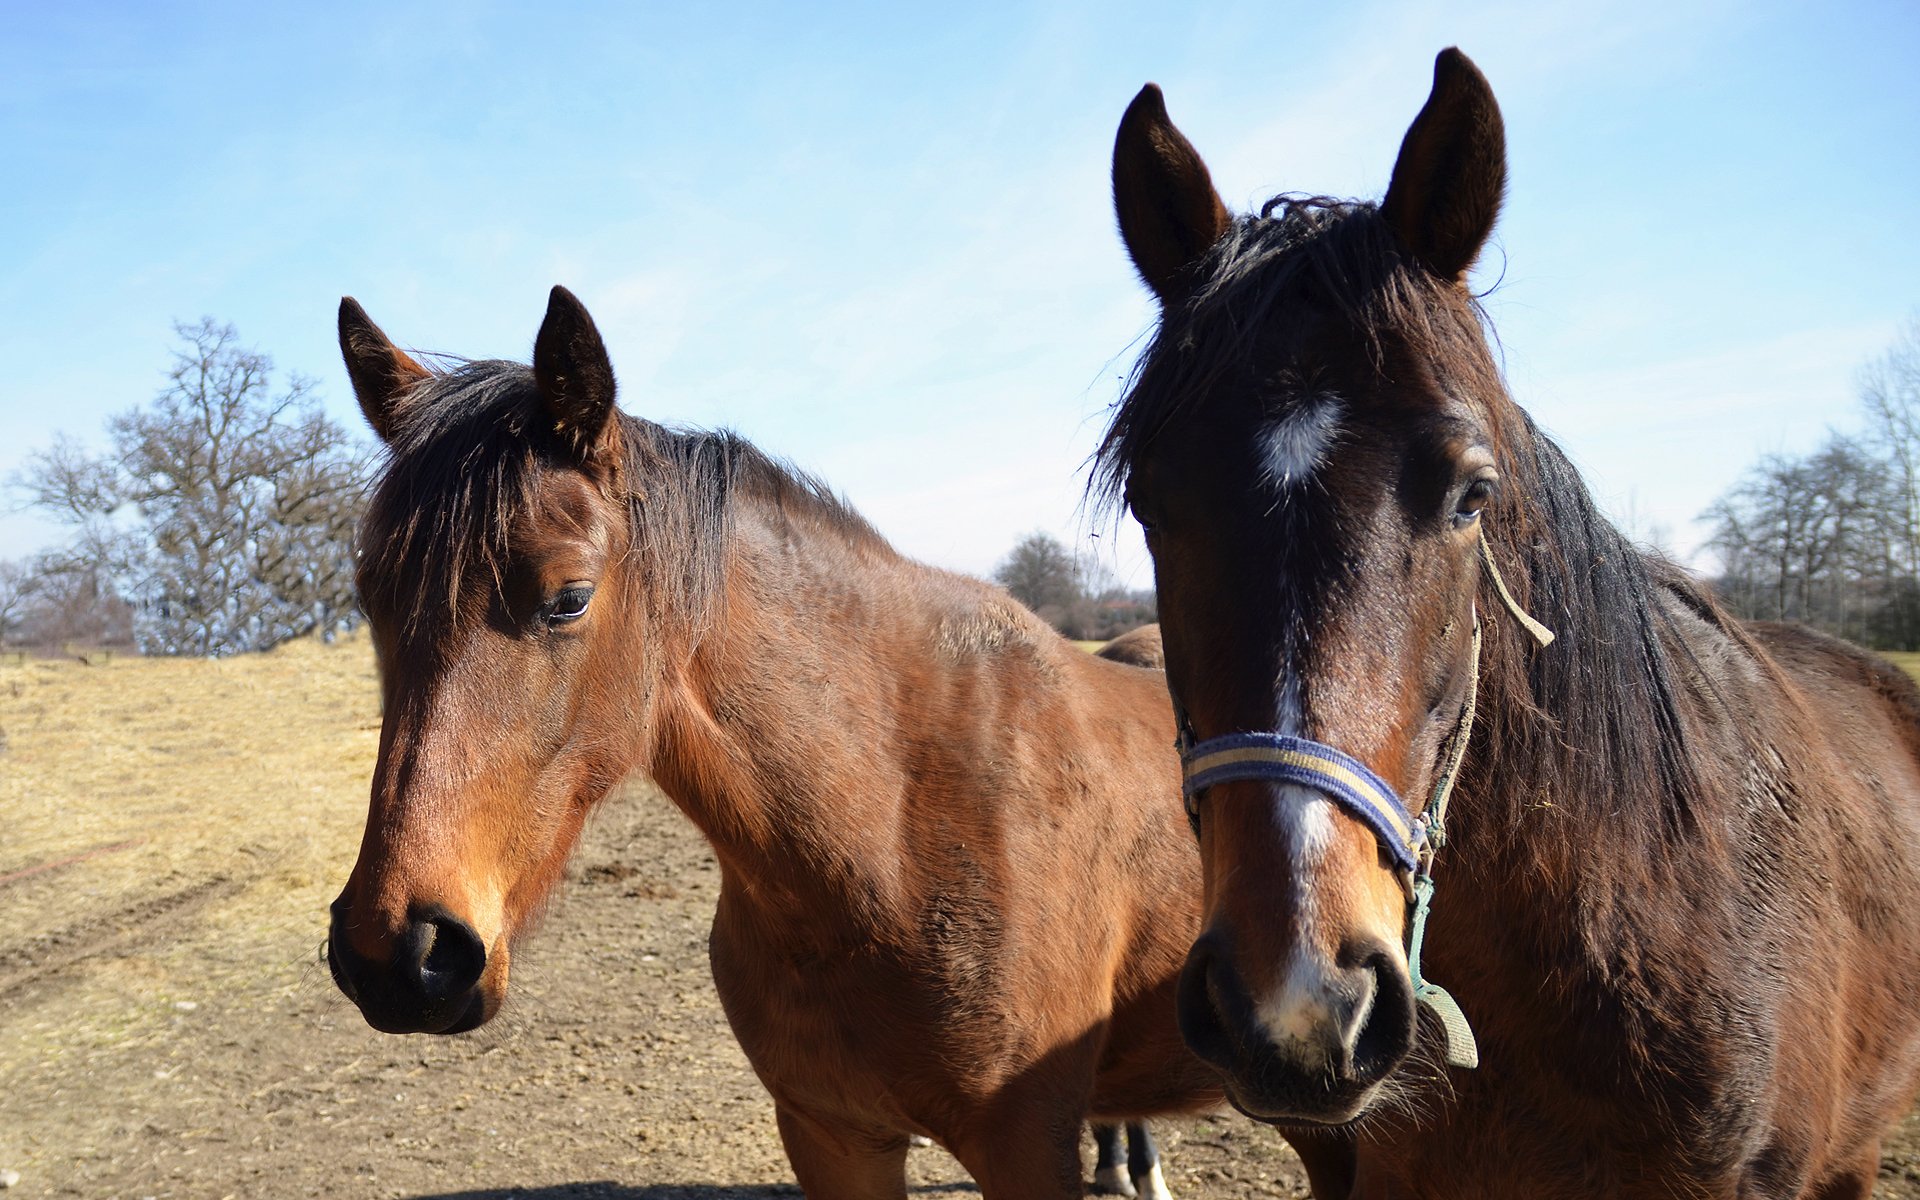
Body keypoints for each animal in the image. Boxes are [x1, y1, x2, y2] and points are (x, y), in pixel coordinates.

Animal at [322, 289, 1344, 1198]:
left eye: (569, 597)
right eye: (369, 597)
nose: (400, 954)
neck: (890, 838)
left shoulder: (1021, 1145)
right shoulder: (832, 1135)